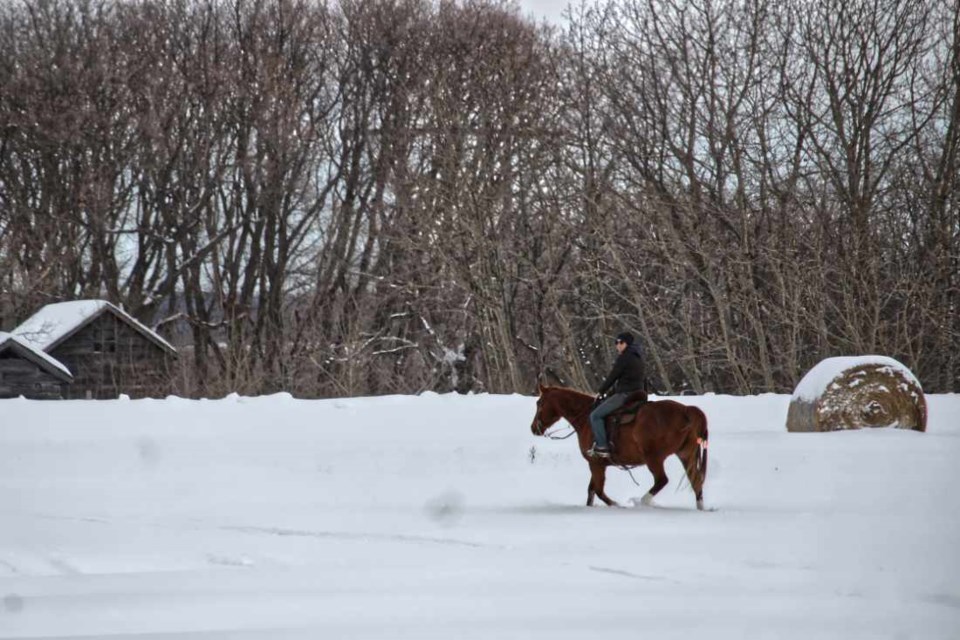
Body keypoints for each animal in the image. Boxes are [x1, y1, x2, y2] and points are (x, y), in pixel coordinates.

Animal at [528, 384, 708, 510]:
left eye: (539, 403)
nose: (533, 428)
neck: (585, 417)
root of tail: (686, 410)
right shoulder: (598, 464)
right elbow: (591, 490)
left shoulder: (595, 464)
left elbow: (598, 490)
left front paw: (616, 505)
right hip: (686, 455)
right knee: (696, 481)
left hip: (654, 458)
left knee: (662, 480)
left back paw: (643, 502)